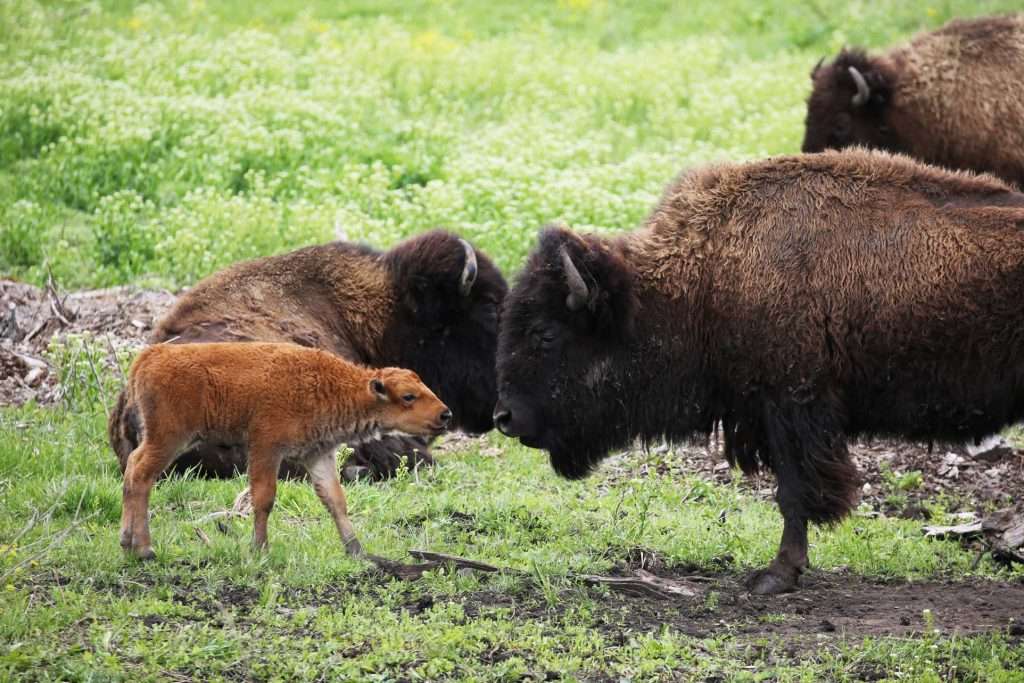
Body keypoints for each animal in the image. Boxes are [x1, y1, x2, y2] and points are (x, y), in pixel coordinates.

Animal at [494, 149, 1024, 594]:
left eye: (545, 333)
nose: (504, 417)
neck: (702, 277)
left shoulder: (790, 405)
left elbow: (793, 493)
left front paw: (775, 576)